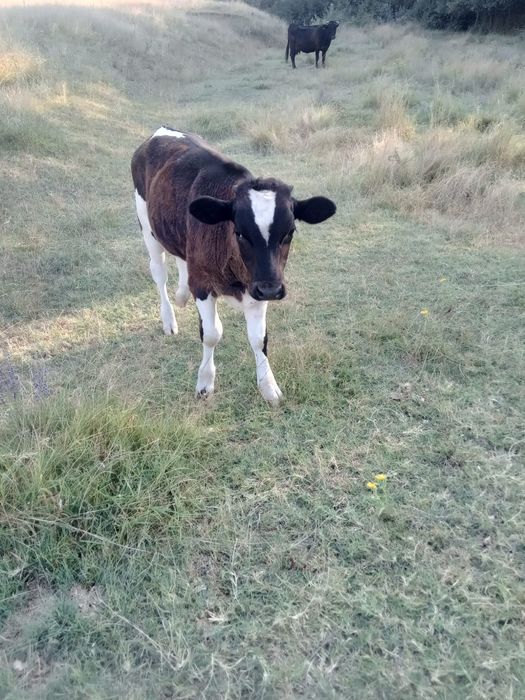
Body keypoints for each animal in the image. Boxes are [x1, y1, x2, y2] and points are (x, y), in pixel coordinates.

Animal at [131, 127, 336, 404]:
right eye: (239, 232)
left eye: (290, 232)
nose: (271, 290)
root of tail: (161, 130)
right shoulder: (205, 284)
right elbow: (211, 334)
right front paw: (205, 382)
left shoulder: (258, 284)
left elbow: (259, 339)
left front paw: (268, 386)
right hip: (147, 226)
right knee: (159, 274)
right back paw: (169, 320)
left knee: (181, 259)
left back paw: (182, 294)